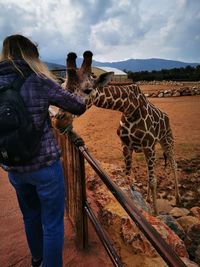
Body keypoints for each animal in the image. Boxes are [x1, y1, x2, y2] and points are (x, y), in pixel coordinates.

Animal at [60, 51, 180, 216]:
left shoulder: (148, 146)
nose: (59, 118)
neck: (130, 109)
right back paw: (148, 199)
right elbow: (128, 177)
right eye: (62, 87)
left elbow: (153, 180)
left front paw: (155, 214)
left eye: (88, 90)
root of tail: (166, 116)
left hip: (166, 139)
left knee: (173, 164)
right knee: (151, 171)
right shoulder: (126, 145)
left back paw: (178, 199)